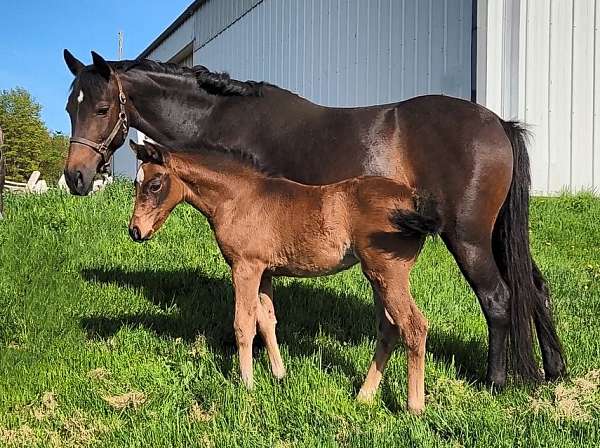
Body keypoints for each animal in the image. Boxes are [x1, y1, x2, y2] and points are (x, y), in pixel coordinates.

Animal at [127, 140, 440, 412]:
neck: (239, 199)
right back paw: (364, 395)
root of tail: (412, 201)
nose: (135, 231)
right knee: (389, 329)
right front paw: (279, 375)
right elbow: (267, 321)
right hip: (377, 277)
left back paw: (414, 407)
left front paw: (247, 384)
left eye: (155, 185)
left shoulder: (244, 267)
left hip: (388, 274)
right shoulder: (265, 272)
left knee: (413, 326)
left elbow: (243, 324)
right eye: (135, 183)